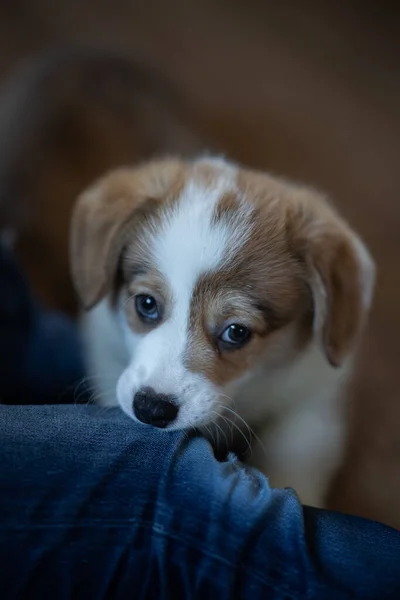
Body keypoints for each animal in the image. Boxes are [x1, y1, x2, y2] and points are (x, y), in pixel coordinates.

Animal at [69, 156, 376, 506]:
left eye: (237, 332)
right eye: (146, 303)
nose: (151, 408)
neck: (248, 392)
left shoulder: (310, 409)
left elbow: (296, 466)